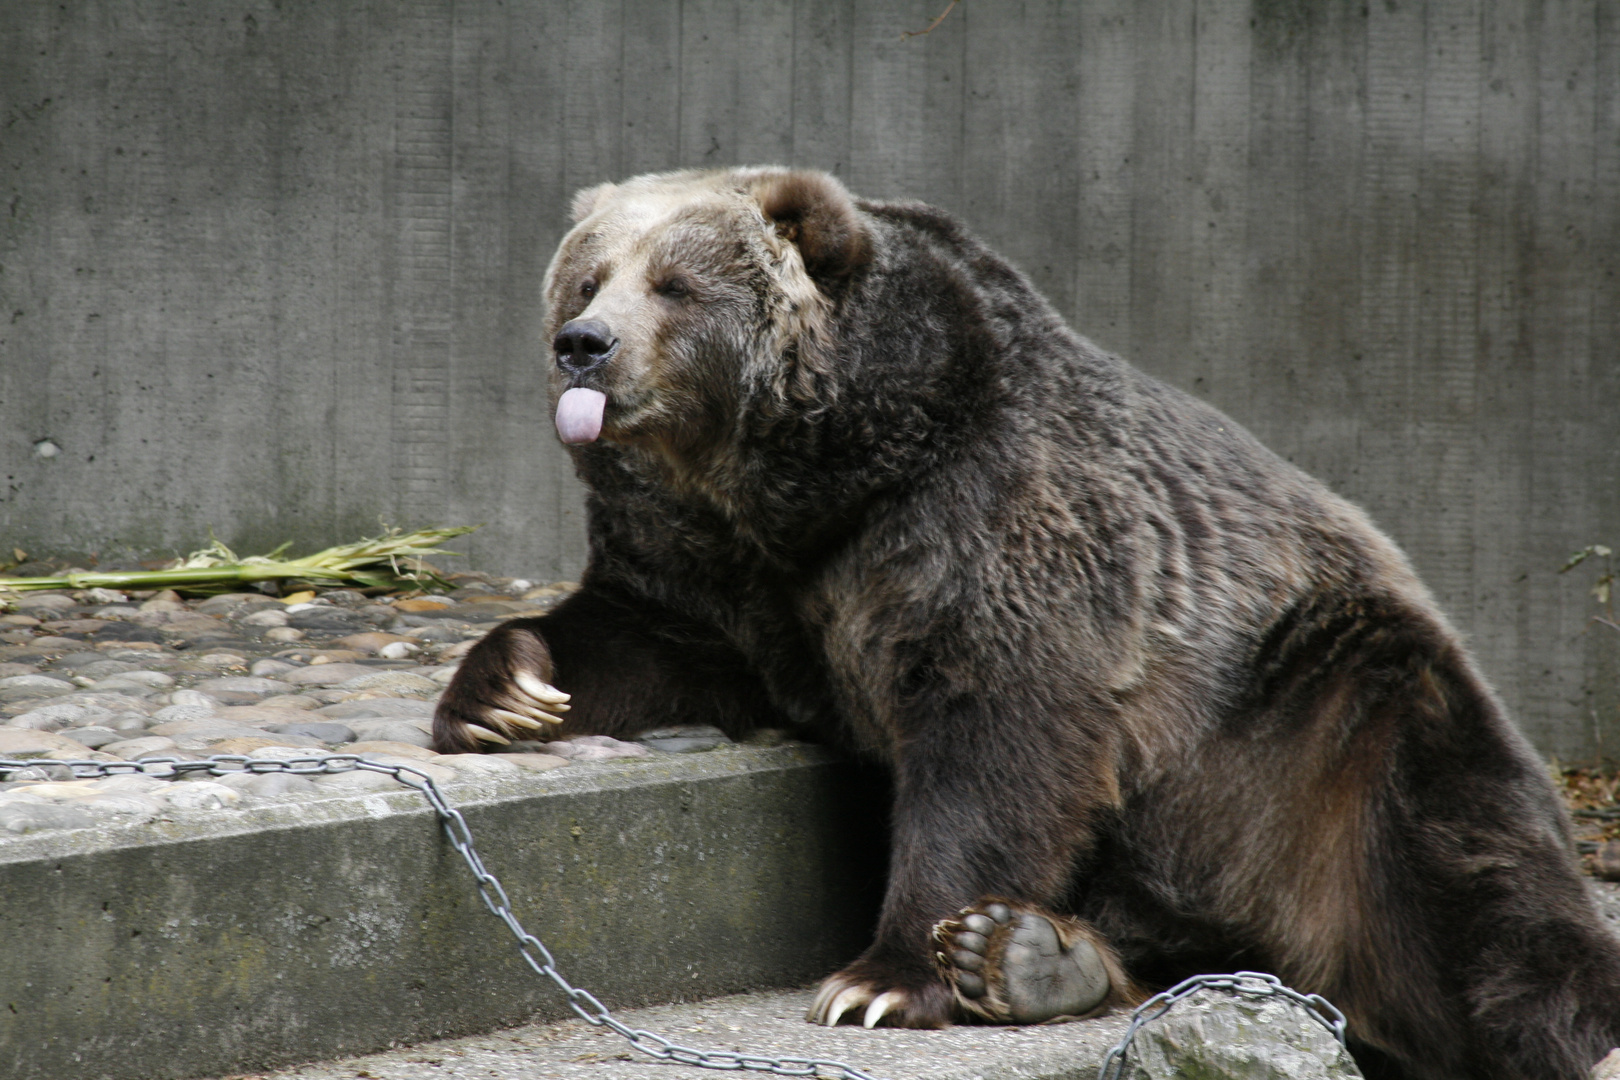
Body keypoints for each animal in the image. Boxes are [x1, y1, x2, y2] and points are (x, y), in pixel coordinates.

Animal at [434, 169, 1620, 1080]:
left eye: (676, 283)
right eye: (588, 274)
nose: (584, 344)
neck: (804, 482)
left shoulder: (988, 518)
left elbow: (1000, 730)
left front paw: (883, 978)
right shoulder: (717, 567)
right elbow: (639, 637)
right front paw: (504, 695)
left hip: (1317, 710)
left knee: (1466, 871)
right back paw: (1044, 956)